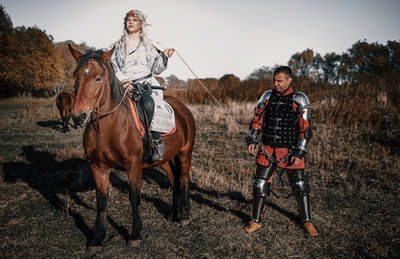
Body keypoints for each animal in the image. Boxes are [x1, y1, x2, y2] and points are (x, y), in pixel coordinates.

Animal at [68, 43, 196, 251]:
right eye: (76, 77)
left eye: (98, 77)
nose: (79, 115)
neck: (109, 127)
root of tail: (183, 108)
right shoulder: (98, 167)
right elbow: (102, 202)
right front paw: (97, 239)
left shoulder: (134, 166)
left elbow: (135, 198)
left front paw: (135, 235)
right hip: (164, 159)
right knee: (174, 179)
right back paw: (173, 214)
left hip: (185, 152)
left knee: (183, 179)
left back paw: (184, 216)